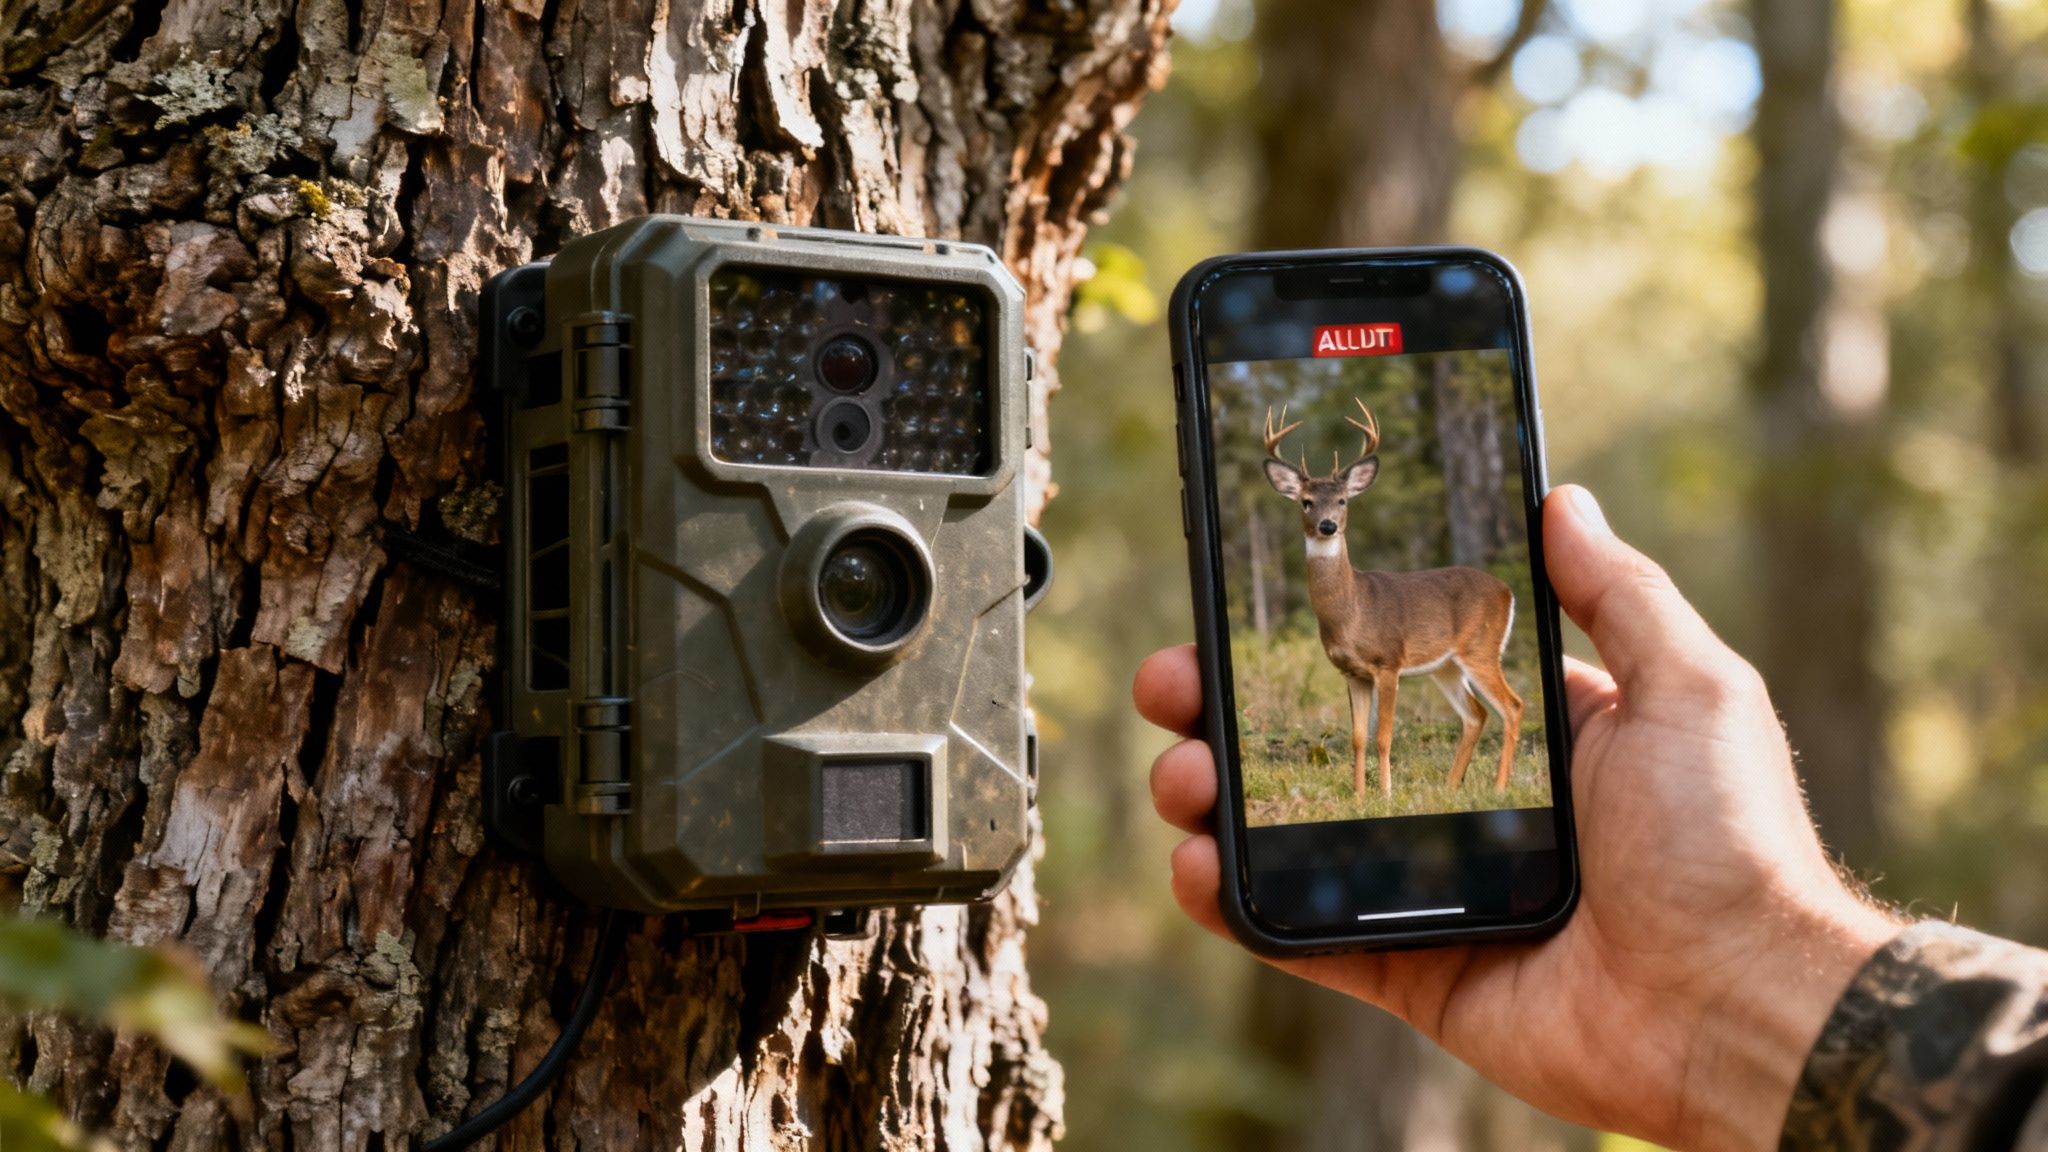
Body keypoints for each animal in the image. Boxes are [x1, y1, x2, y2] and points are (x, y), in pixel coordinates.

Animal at [1260, 398, 1523, 799]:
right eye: (1306, 502)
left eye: (1342, 500)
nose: (1327, 526)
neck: (1351, 612)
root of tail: (1507, 590)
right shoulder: (1352, 672)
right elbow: (1357, 738)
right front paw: (1358, 796)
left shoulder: (1388, 662)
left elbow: (1383, 737)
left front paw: (1384, 794)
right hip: (1446, 665)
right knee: (1476, 714)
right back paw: (1450, 787)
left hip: (1481, 648)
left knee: (1512, 706)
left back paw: (1498, 787)